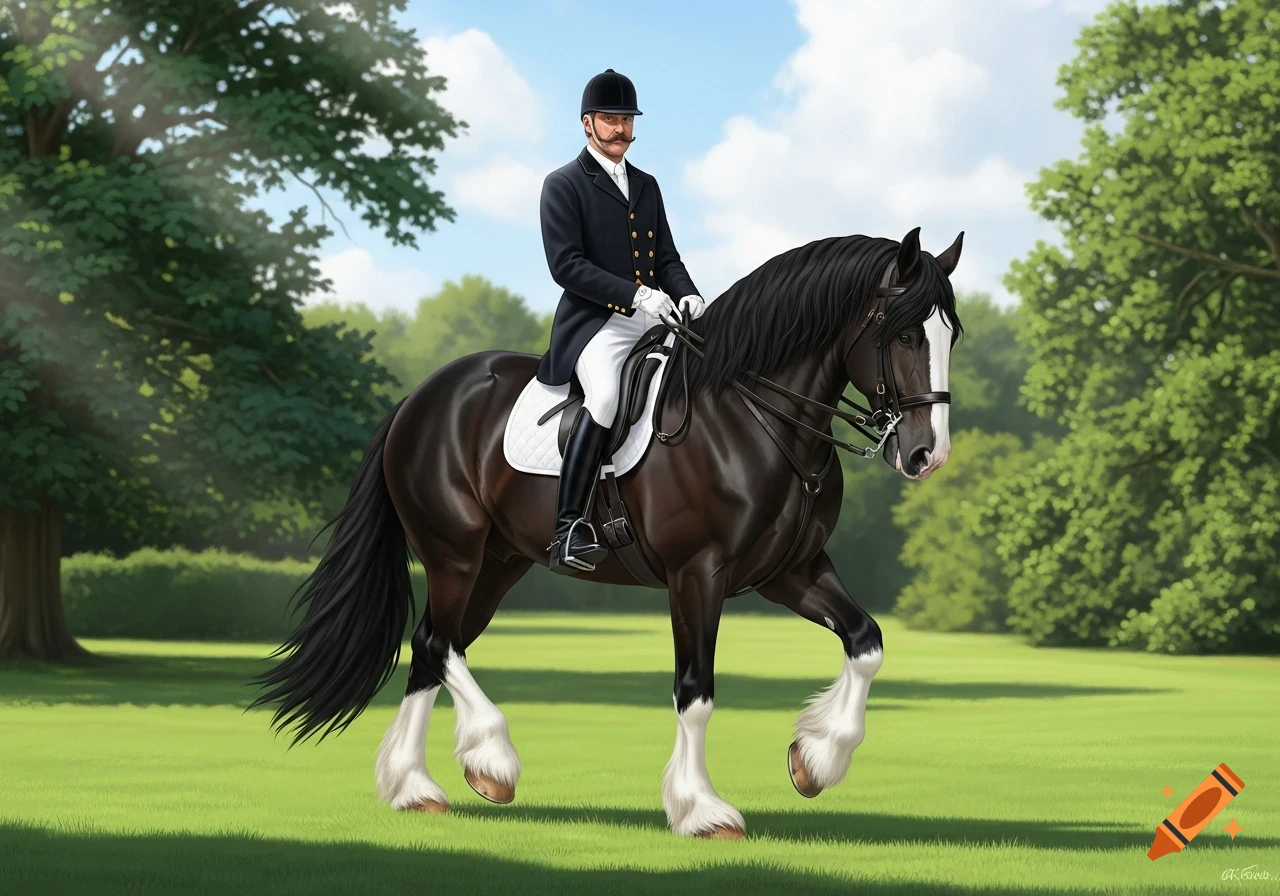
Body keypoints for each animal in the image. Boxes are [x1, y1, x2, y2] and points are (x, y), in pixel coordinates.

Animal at [249, 226, 965, 840]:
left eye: (949, 336)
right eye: (905, 335)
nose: (926, 455)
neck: (754, 416)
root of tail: (420, 398)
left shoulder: (790, 570)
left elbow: (866, 642)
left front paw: (814, 760)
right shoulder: (696, 573)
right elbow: (696, 690)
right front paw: (701, 810)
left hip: (498, 564)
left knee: (433, 648)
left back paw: (415, 787)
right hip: (455, 555)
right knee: (436, 643)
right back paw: (490, 758)